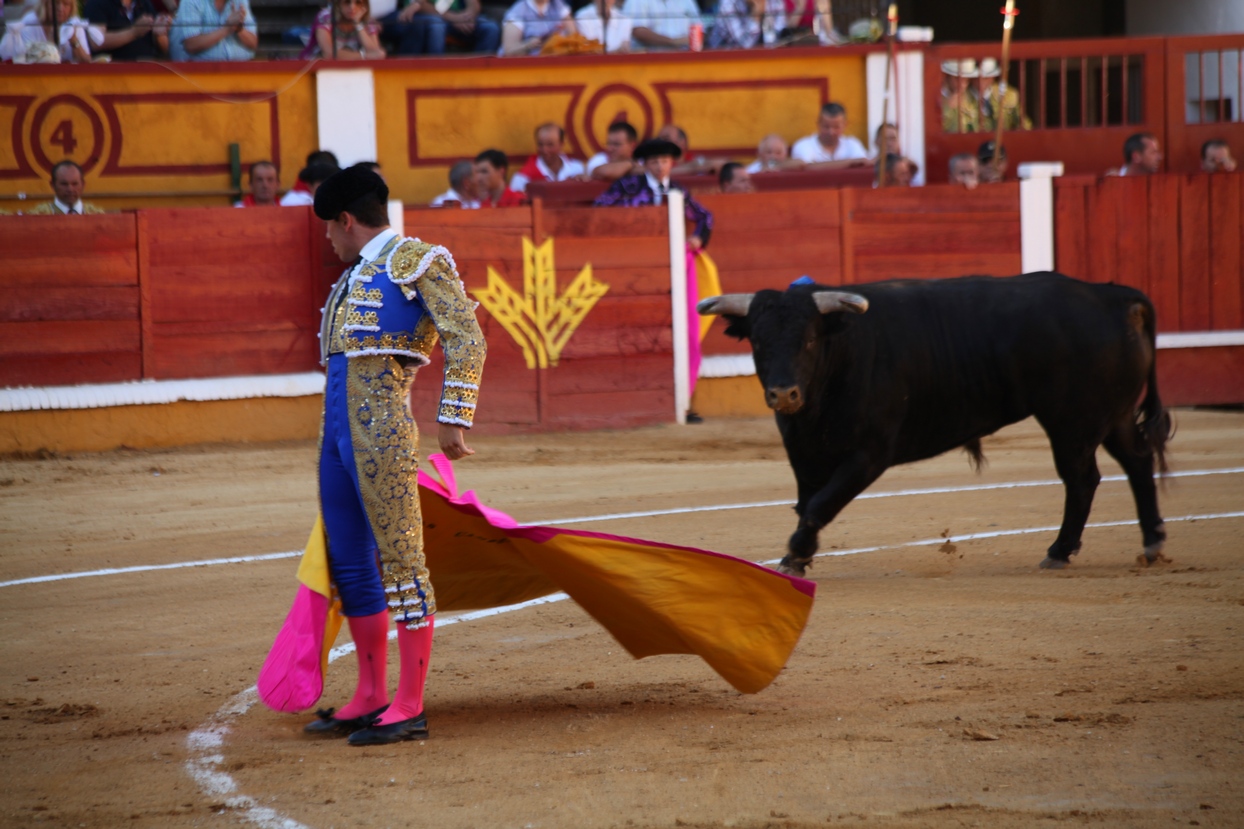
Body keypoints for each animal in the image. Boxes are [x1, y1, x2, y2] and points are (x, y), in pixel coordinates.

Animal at [701, 271, 1164, 575]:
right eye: (757, 341)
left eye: (810, 339)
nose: (783, 394)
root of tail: (1115, 298)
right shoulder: (803, 452)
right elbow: (806, 503)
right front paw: (797, 555)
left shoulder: (869, 454)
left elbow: (819, 505)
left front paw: (795, 555)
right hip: (1113, 414)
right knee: (1138, 461)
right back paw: (1152, 541)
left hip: (1073, 421)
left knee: (1082, 478)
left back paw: (1060, 551)